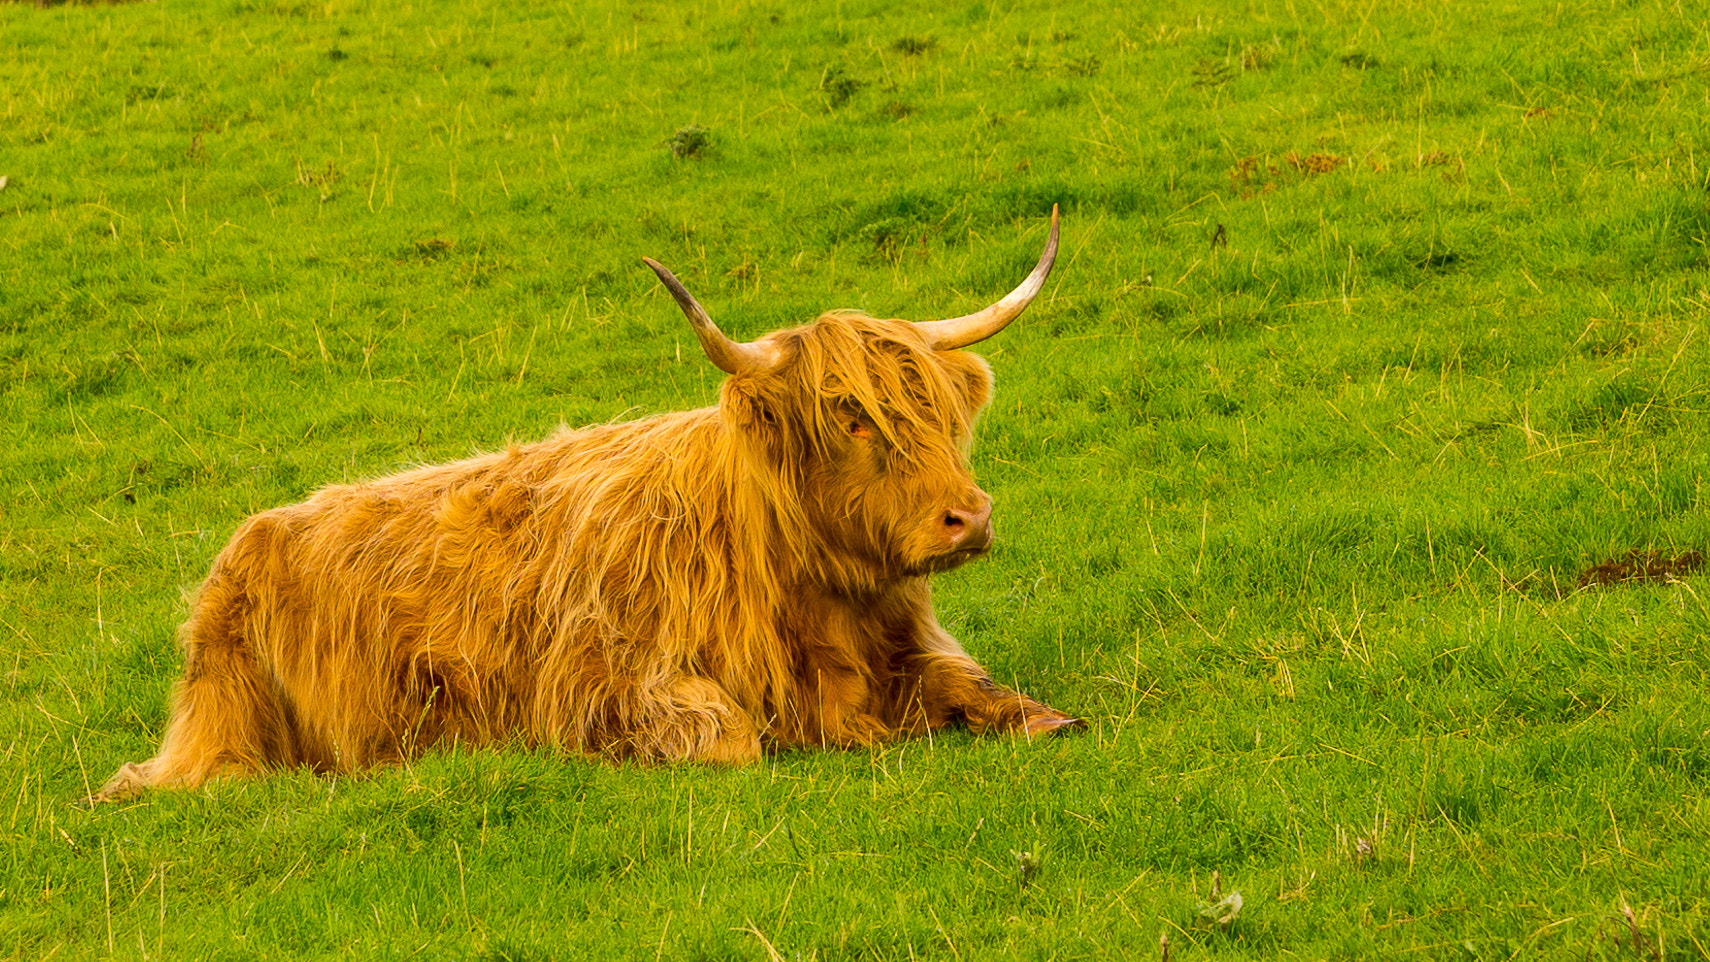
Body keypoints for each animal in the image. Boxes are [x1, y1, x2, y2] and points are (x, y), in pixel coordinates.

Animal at [93, 206, 1073, 803]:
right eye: (850, 417)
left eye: (942, 412)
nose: (969, 517)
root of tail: (255, 532)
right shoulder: (609, 684)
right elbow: (732, 738)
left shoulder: (913, 646)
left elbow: (999, 696)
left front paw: (1048, 718)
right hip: (224, 731)